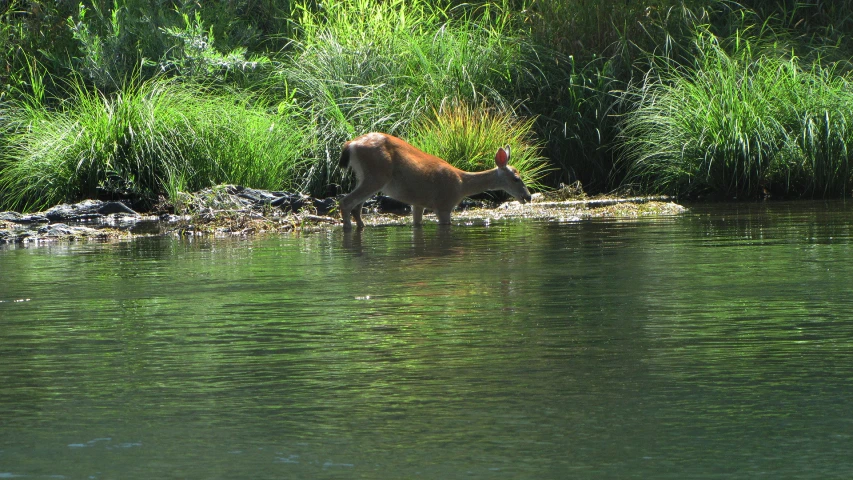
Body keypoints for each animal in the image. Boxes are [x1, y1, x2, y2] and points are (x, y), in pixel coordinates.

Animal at [336, 130, 528, 230]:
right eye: (516, 178)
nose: (528, 196)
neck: (462, 184)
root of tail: (350, 144)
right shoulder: (444, 204)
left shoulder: (417, 203)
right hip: (377, 175)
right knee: (345, 202)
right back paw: (347, 227)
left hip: (364, 177)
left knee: (356, 206)